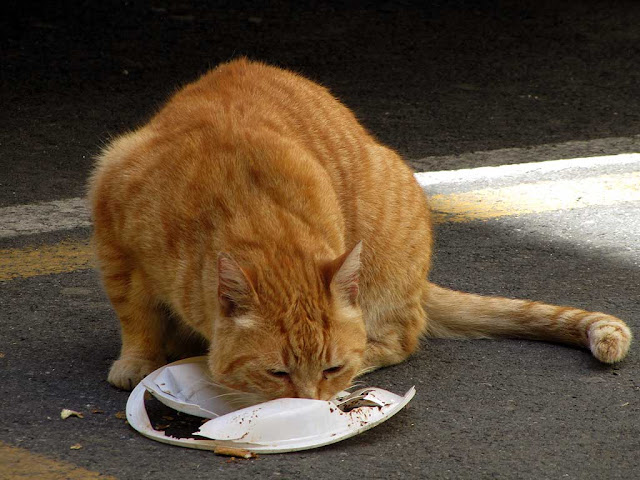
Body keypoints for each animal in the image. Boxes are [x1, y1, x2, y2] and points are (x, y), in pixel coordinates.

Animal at [87, 58, 632, 400]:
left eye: (331, 368)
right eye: (277, 372)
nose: (309, 403)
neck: (241, 202)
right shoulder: (113, 228)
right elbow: (134, 314)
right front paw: (138, 360)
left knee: (401, 337)